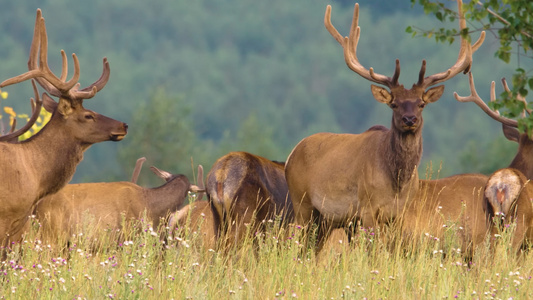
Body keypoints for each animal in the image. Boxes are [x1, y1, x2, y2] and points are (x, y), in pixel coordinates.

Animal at [284, 0, 484, 251]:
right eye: (394, 104)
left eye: (421, 104)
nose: (410, 120)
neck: (397, 184)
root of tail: (291, 155)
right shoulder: (368, 208)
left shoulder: (399, 214)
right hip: (302, 203)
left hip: (327, 219)